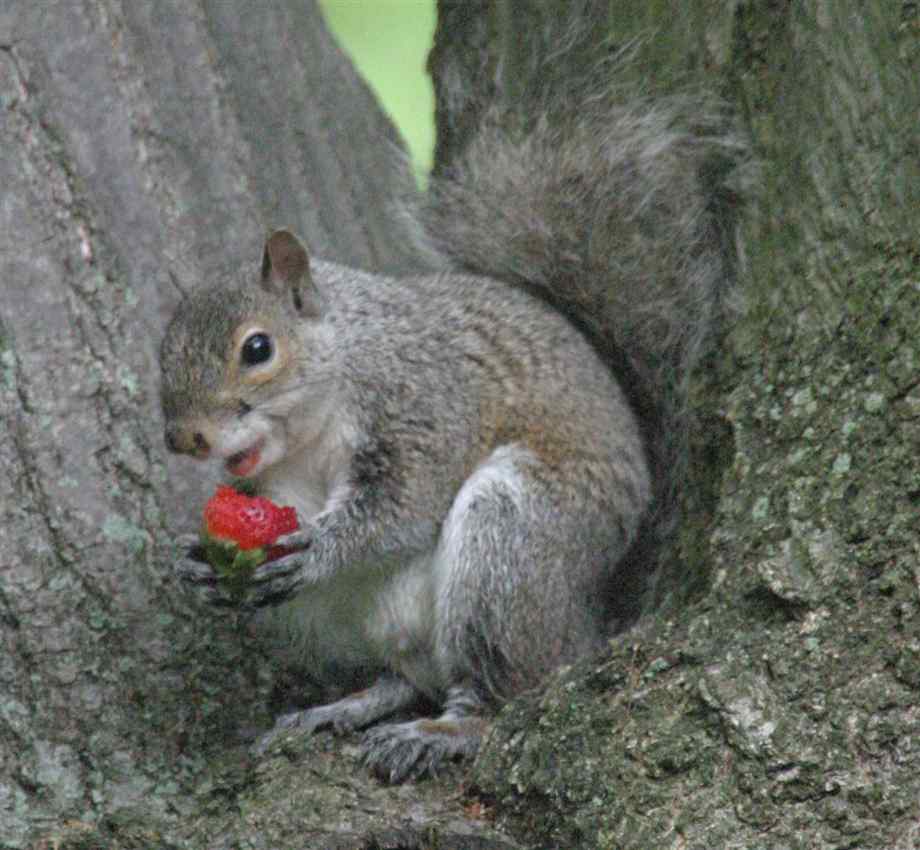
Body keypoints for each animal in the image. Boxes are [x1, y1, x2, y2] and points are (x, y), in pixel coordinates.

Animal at [158, 31, 748, 776]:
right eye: (162, 348)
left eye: (257, 348)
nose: (185, 438)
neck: (312, 428)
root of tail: (589, 618)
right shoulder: (271, 485)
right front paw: (199, 561)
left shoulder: (424, 406)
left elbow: (401, 507)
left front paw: (319, 547)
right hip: (328, 620)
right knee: (404, 676)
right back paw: (342, 708)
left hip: (512, 540)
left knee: (499, 688)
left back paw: (444, 730)